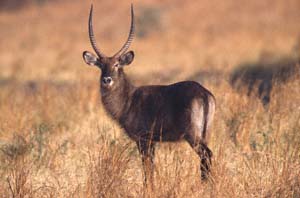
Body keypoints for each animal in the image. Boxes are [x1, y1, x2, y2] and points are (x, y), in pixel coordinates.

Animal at [82, 4, 216, 183]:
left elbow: (147, 169)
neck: (128, 100)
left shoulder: (143, 139)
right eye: (101, 66)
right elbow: (151, 168)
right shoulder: (152, 142)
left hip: (193, 135)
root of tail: (203, 93)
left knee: (206, 154)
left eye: (117, 64)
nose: (107, 79)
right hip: (205, 134)